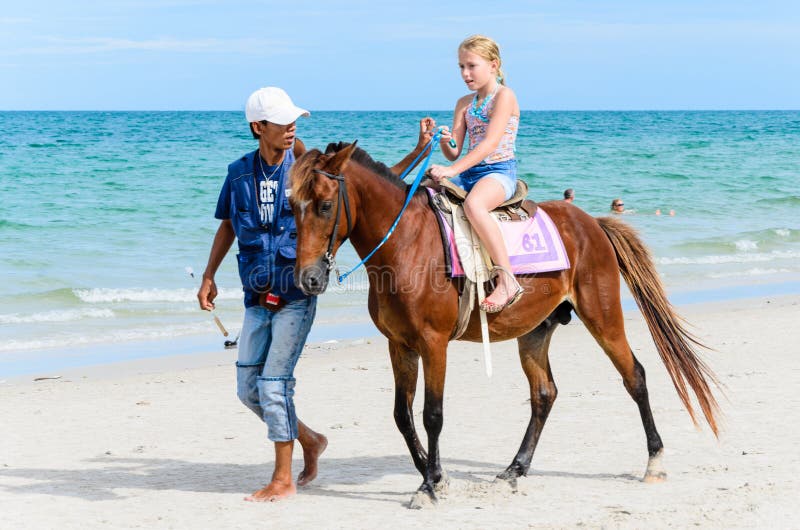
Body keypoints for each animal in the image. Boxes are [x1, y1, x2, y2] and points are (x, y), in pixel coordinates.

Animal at [288, 142, 720, 506]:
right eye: (291, 206)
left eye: (325, 206)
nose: (308, 279)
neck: (408, 244)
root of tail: (592, 223)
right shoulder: (400, 345)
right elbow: (402, 415)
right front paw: (435, 475)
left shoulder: (433, 343)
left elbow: (432, 414)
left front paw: (429, 486)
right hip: (534, 332)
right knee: (544, 394)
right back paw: (516, 468)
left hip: (604, 317)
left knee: (635, 377)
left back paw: (655, 461)